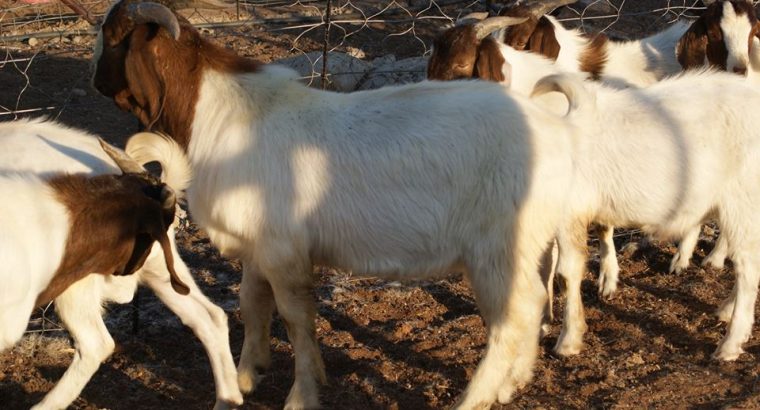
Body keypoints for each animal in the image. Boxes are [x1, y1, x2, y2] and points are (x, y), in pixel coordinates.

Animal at [92, 2, 579, 408]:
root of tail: (554, 132)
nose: (96, 81)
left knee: (511, 319)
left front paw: (302, 395)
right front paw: (249, 373)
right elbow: (252, 302)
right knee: (533, 302)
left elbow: (296, 320)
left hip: (497, 248)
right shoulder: (256, 244)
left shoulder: (284, 251)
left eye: (112, 35)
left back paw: (475, 398)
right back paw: (513, 383)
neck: (220, 115)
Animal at [532, 69, 760, 360]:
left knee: (748, 267)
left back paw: (730, 343)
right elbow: (544, 269)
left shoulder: (570, 213)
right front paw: (542, 324)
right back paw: (726, 311)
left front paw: (568, 340)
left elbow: (565, 273)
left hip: (743, 201)